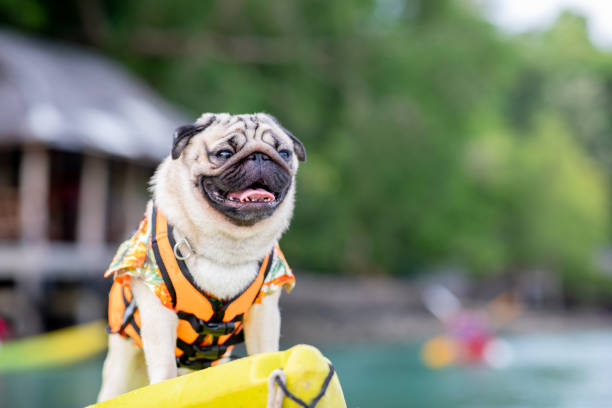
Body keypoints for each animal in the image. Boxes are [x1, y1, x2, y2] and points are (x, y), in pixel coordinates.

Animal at [97, 112, 304, 402]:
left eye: (284, 153)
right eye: (224, 153)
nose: (261, 157)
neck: (227, 245)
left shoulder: (265, 311)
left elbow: (265, 352)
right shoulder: (157, 310)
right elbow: (164, 365)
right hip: (121, 371)